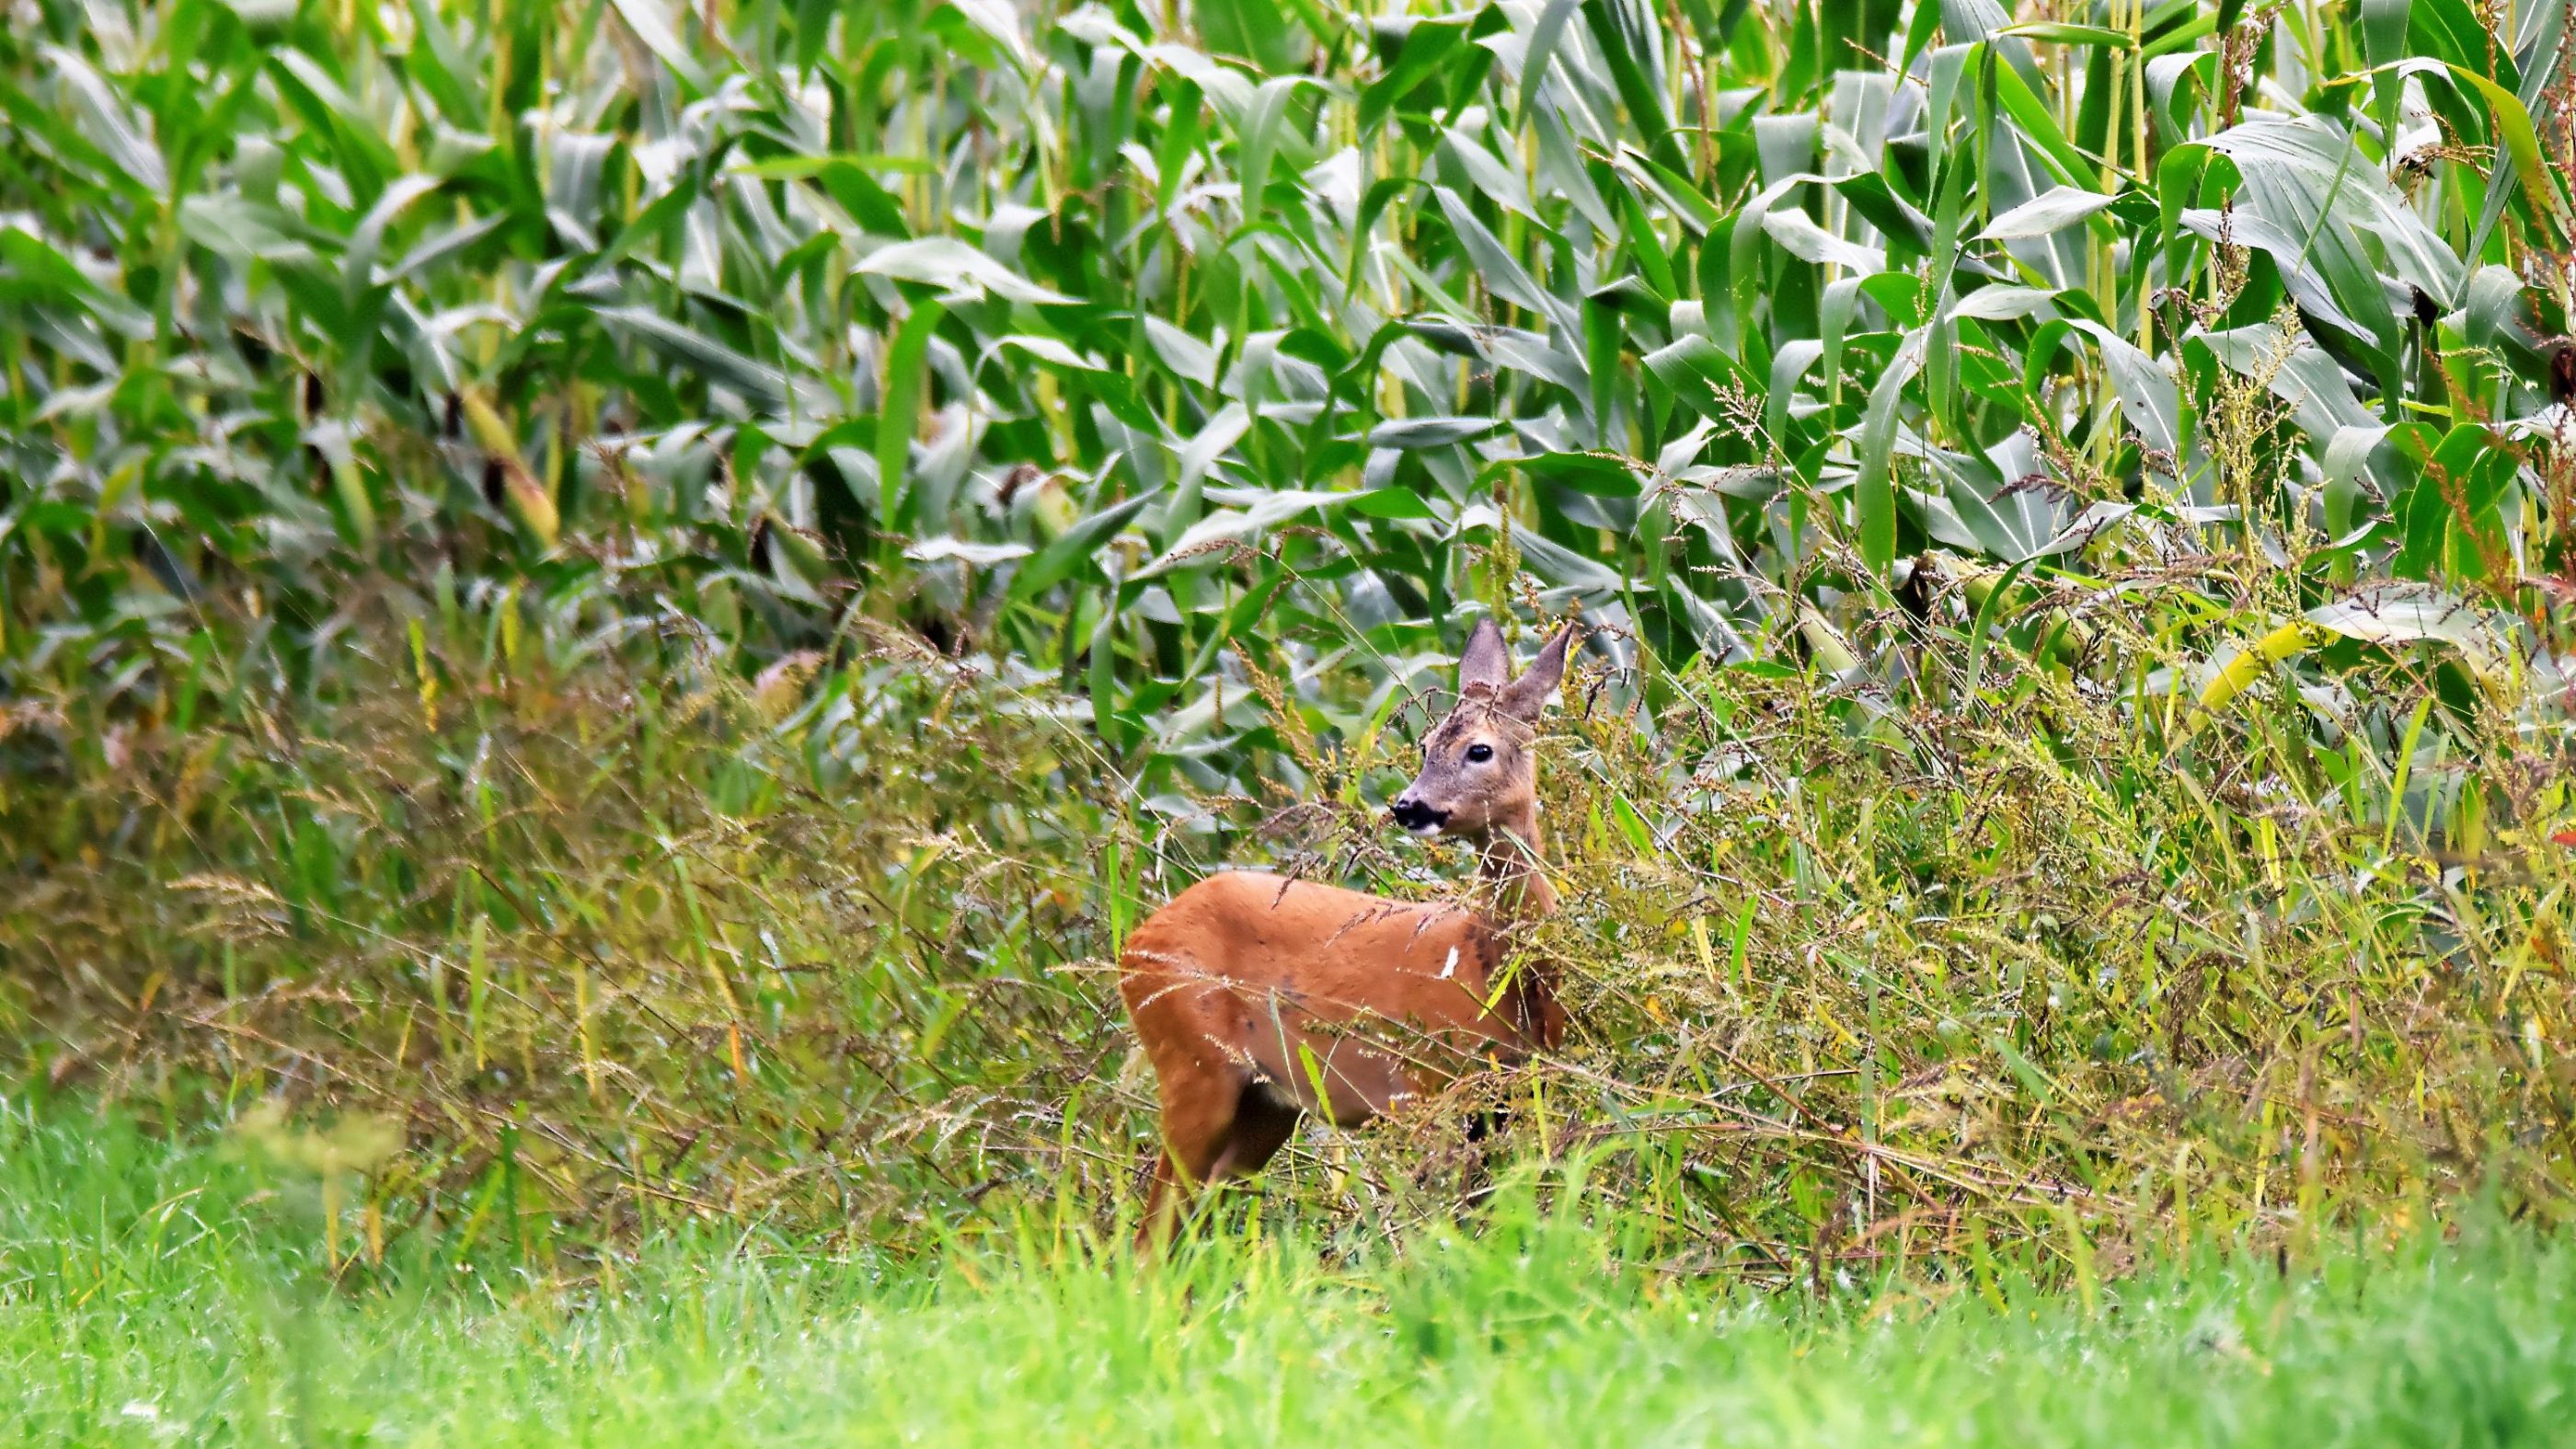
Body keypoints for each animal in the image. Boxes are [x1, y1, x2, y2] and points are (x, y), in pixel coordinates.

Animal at [1118, 613, 1576, 1248]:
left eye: (1478, 749)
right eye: (1425, 745)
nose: (1408, 806)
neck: (1493, 972)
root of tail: (1133, 945)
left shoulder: (1510, 1098)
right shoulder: (1425, 1087)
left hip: (1266, 1104)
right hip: (1193, 1060)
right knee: (1151, 1235)